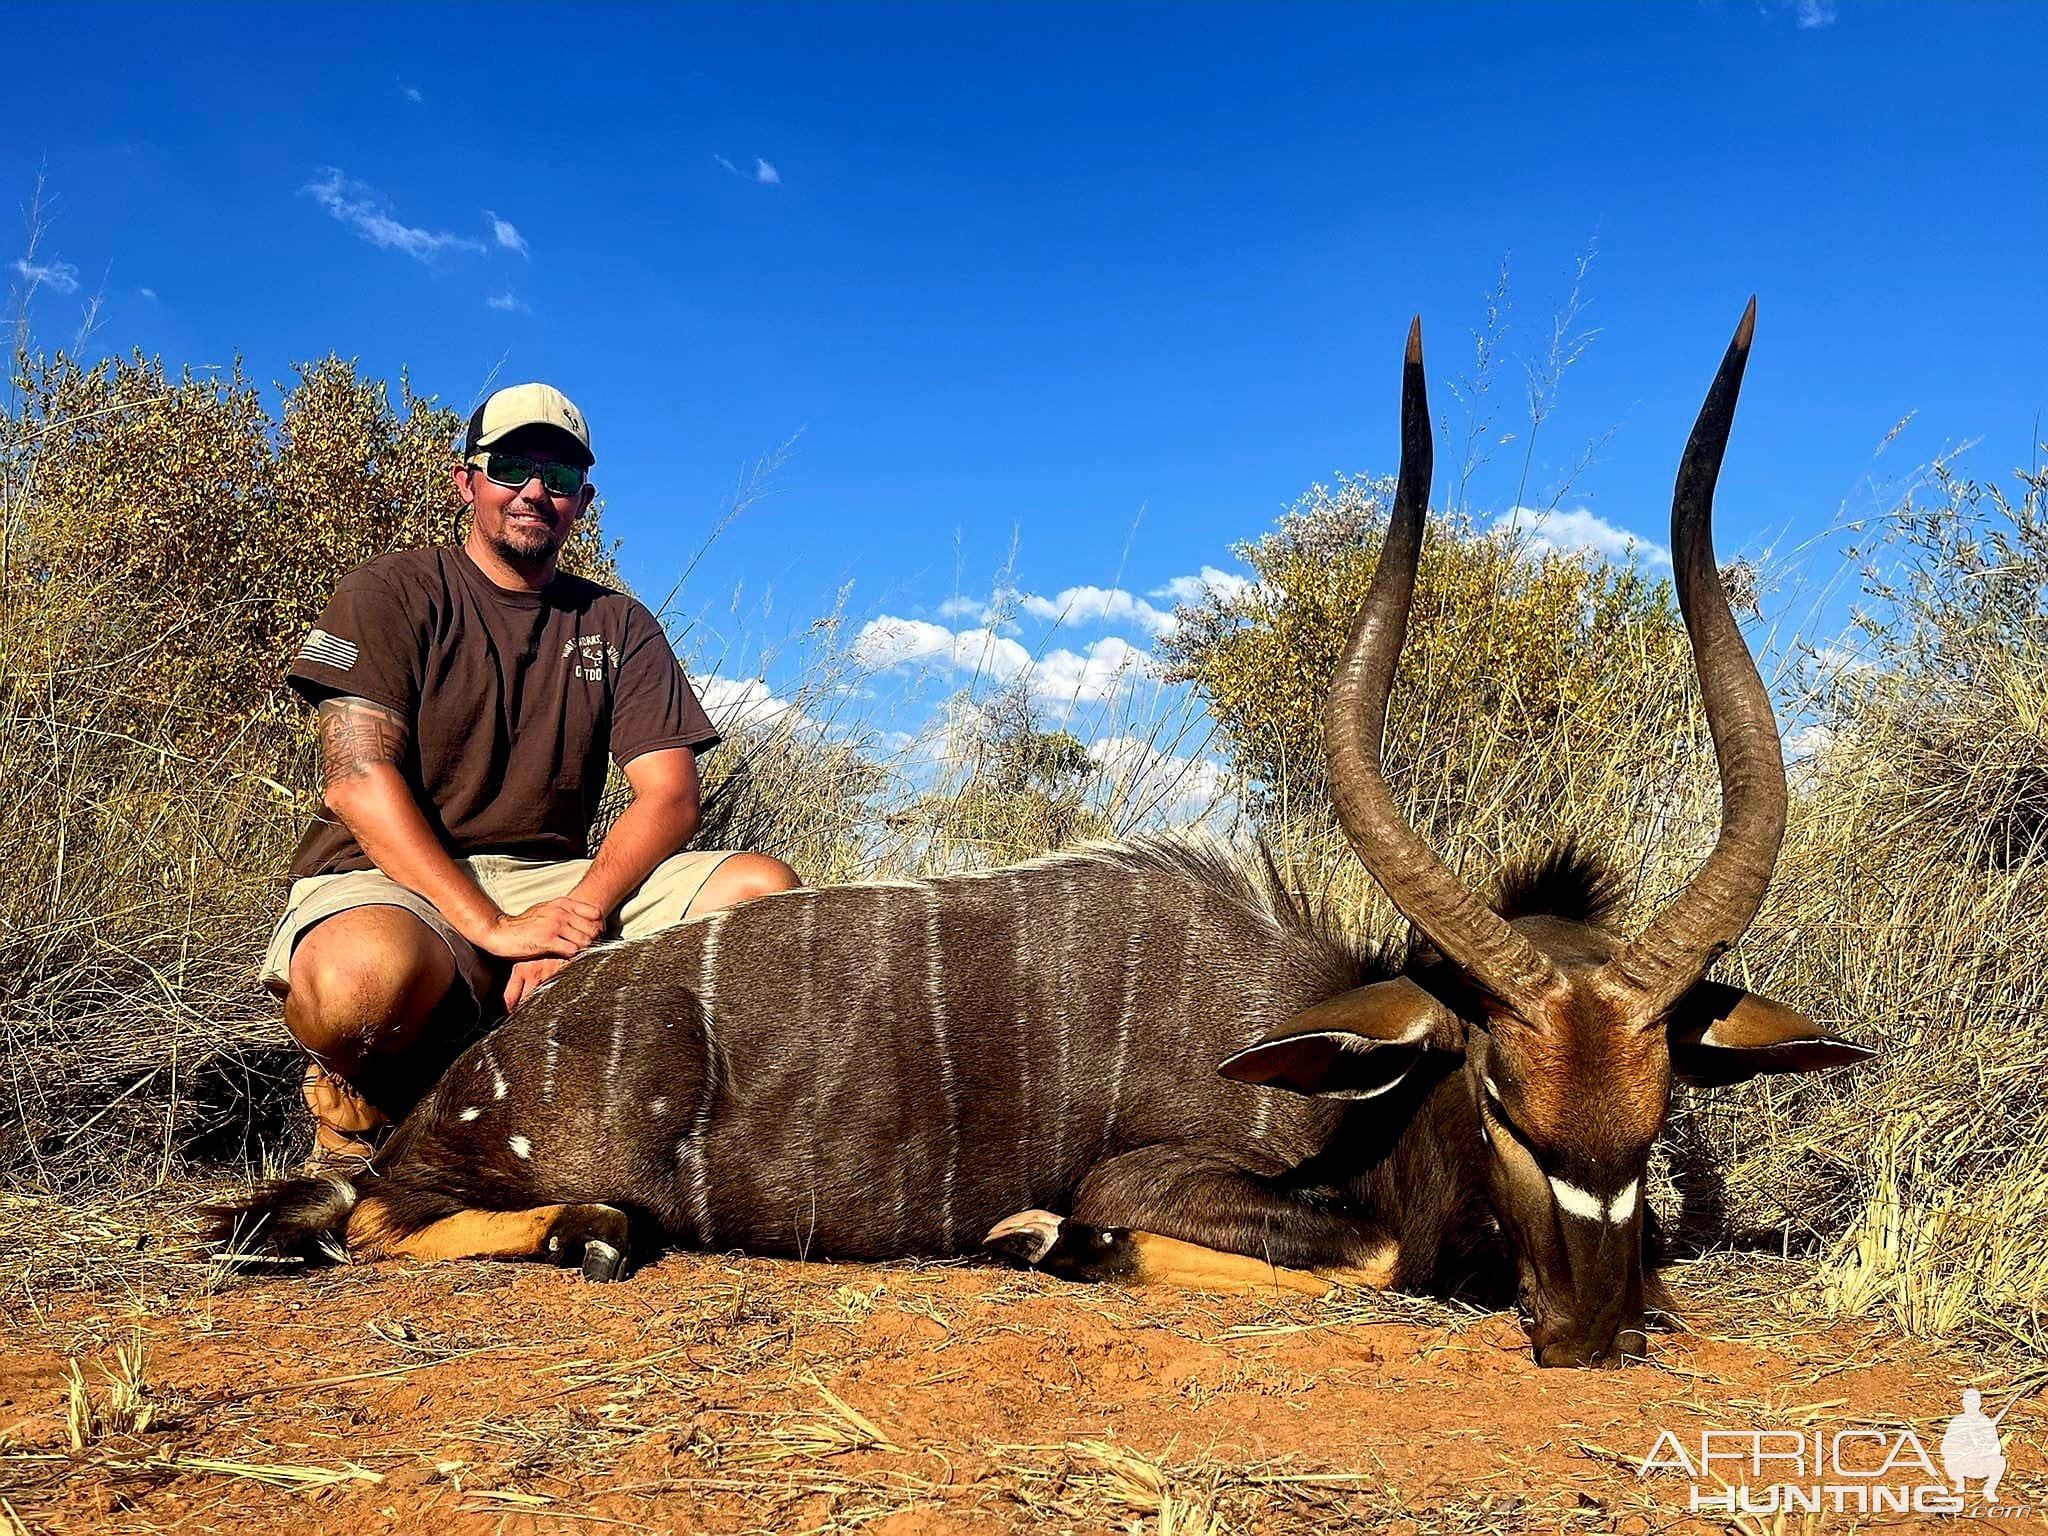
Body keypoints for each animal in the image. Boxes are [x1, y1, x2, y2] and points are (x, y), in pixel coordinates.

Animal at [211, 301, 1875, 1368]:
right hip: (490, 1165)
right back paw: (585, 1233)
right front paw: (1037, 1240)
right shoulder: (1159, 1180)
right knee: (376, 1219)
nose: (1590, 1327)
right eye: (1497, 1091)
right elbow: (1320, 1249)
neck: (1352, 1079)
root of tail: (496, 1057)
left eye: (1656, 1108)